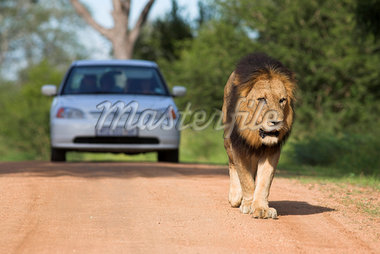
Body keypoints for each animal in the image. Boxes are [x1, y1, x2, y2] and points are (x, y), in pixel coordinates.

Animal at [223, 52, 296, 219]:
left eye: (282, 100)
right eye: (262, 99)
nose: (276, 122)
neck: (255, 136)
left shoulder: (272, 151)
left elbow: (264, 182)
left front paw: (261, 208)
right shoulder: (238, 147)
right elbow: (245, 179)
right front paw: (248, 204)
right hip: (227, 141)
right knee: (232, 164)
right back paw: (235, 197)